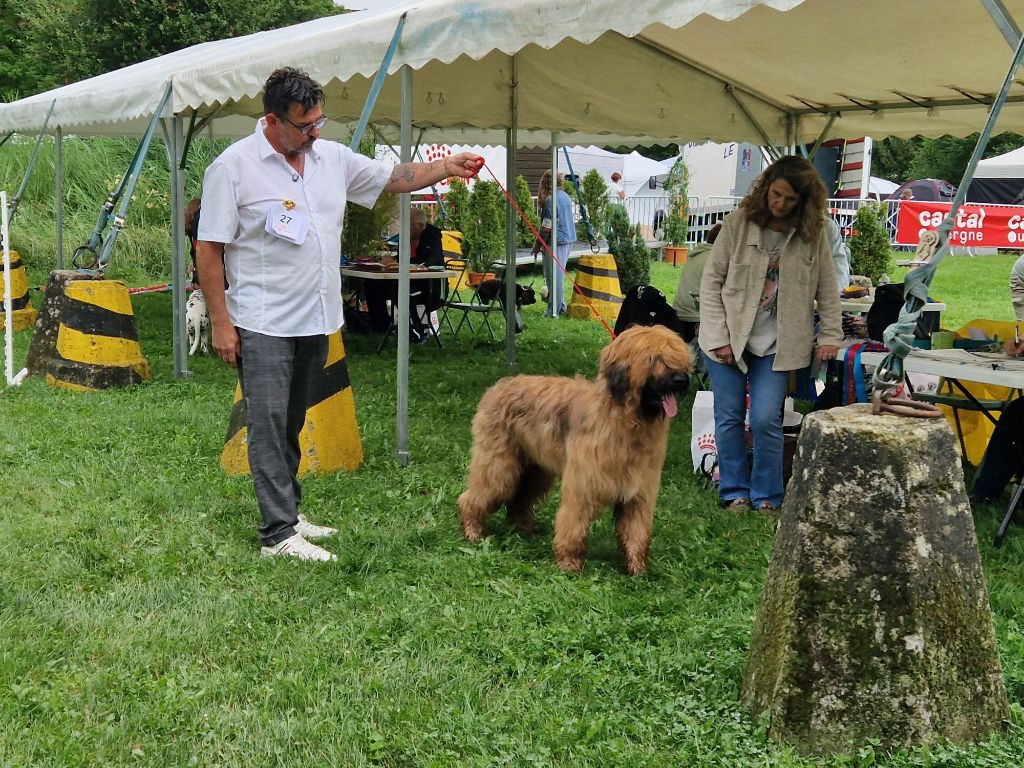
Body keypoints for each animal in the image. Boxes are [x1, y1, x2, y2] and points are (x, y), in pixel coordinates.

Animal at [458, 321, 692, 573]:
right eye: (653, 358)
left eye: (679, 356)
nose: (680, 380)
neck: (626, 419)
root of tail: (498, 387)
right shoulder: (583, 484)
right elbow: (573, 523)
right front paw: (569, 563)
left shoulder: (638, 492)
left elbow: (636, 532)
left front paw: (638, 569)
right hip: (498, 465)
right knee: (475, 495)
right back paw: (473, 531)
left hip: (536, 469)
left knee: (520, 499)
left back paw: (524, 529)